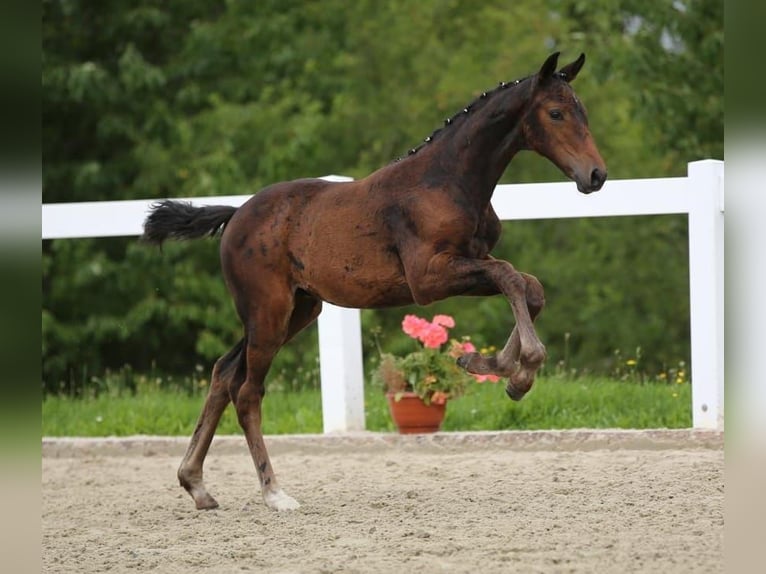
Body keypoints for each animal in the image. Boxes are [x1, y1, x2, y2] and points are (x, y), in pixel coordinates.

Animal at [142, 52, 607, 511]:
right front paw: (520, 371)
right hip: (268, 312)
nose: (596, 175)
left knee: (223, 372)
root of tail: (235, 214)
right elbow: (510, 277)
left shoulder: (471, 260)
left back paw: (196, 485)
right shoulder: (428, 278)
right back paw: (274, 493)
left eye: (583, 111)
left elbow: (529, 287)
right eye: (556, 113)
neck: (446, 181)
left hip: (298, 310)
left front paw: (492, 367)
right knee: (247, 392)